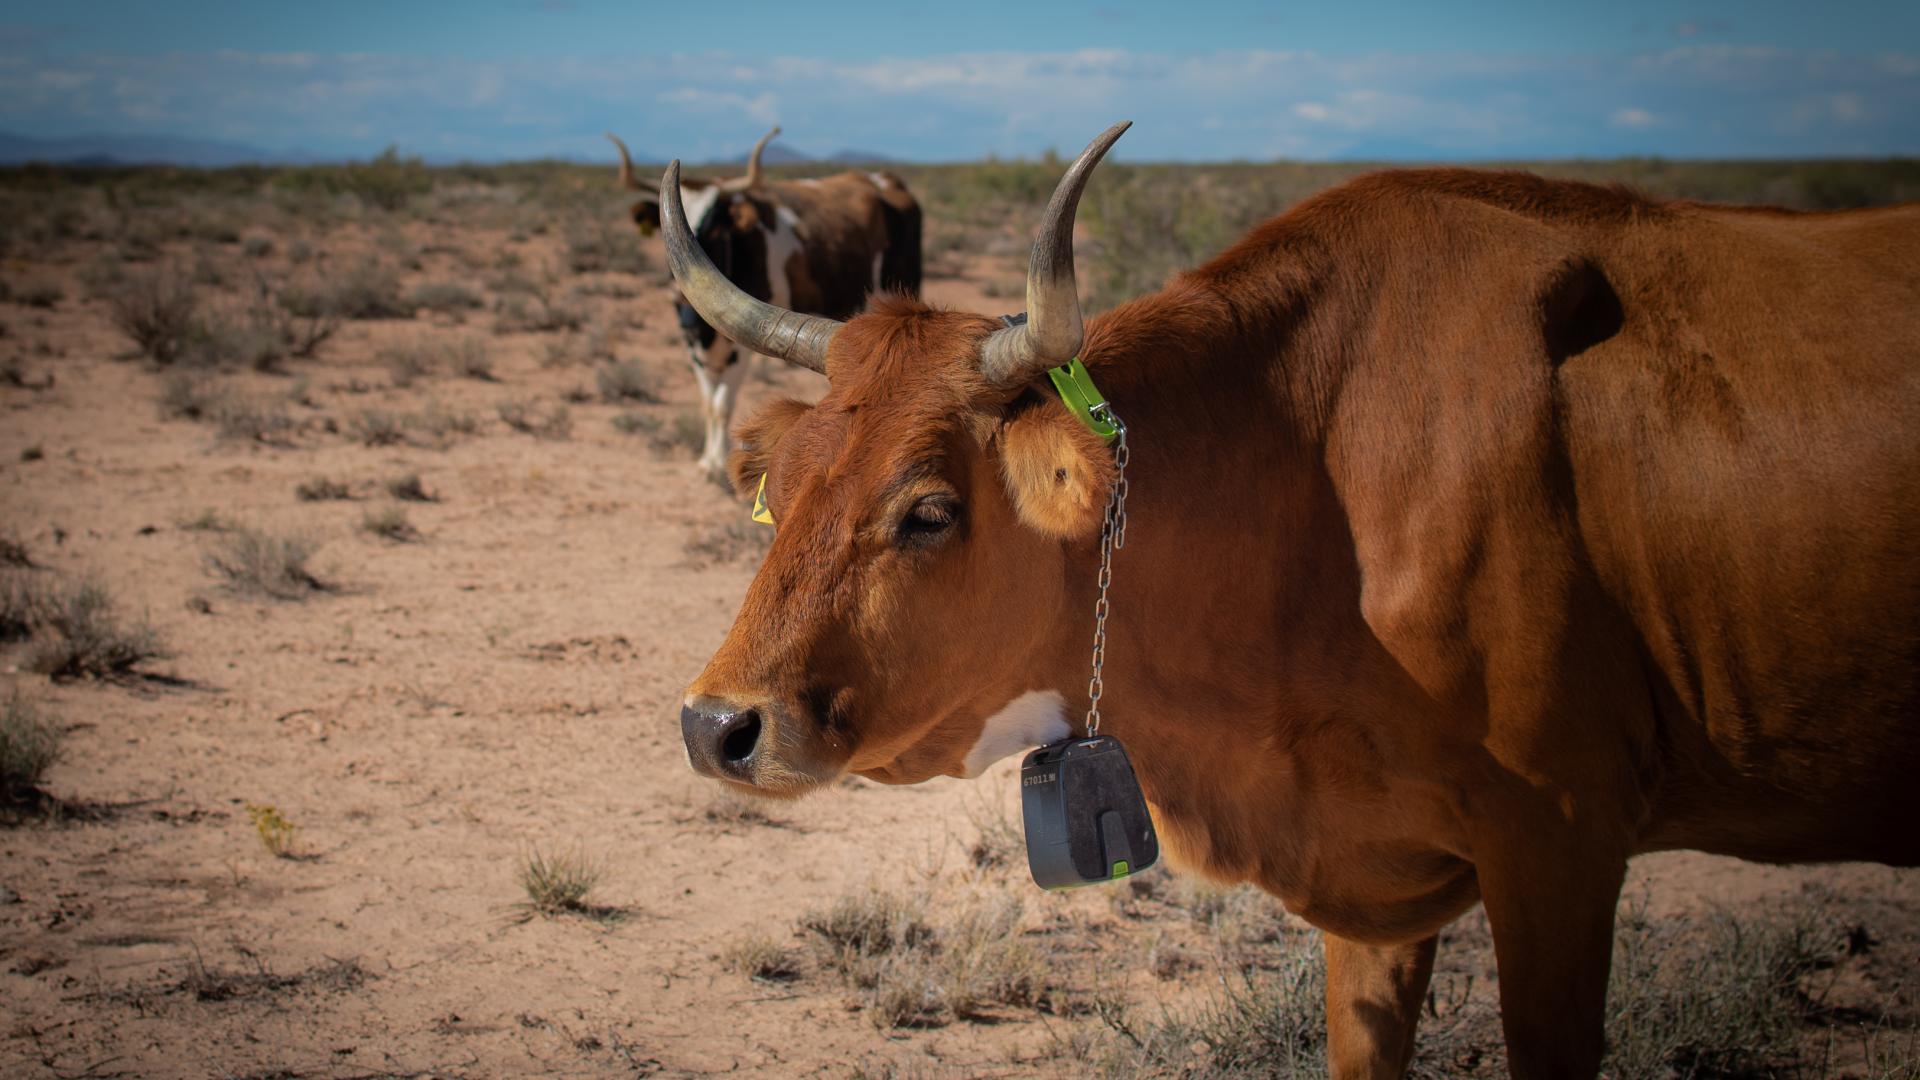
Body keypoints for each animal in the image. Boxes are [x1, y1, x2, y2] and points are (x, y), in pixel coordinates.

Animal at [606, 127, 921, 476]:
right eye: (669, 228)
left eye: (714, 225)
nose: (677, 293)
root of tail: (886, 181)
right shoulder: (691, 340)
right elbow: (707, 401)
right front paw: (706, 459)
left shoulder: (739, 344)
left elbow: (722, 403)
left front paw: (718, 464)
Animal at [660, 122, 1920, 1068]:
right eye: (781, 489)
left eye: (929, 509)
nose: (717, 725)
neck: (1324, 490)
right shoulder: (1376, 894)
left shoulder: (1562, 844)